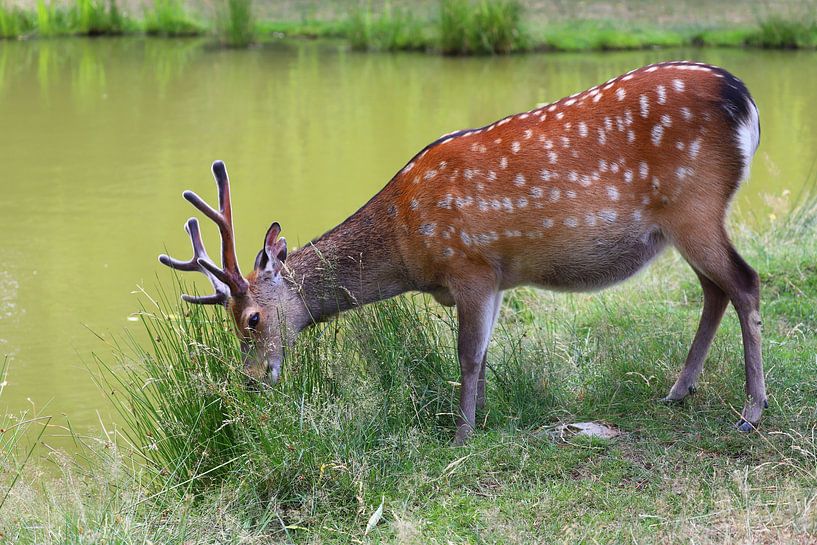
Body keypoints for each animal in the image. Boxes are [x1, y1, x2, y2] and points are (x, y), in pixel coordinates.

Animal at [159, 61, 765, 444]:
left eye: (252, 319)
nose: (253, 379)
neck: (407, 242)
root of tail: (745, 101)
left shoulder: (470, 263)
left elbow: (468, 355)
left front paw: (462, 433)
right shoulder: (493, 277)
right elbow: (486, 352)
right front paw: (481, 418)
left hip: (695, 204)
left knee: (745, 282)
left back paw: (750, 412)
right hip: (682, 224)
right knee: (715, 289)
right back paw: (678, 392)